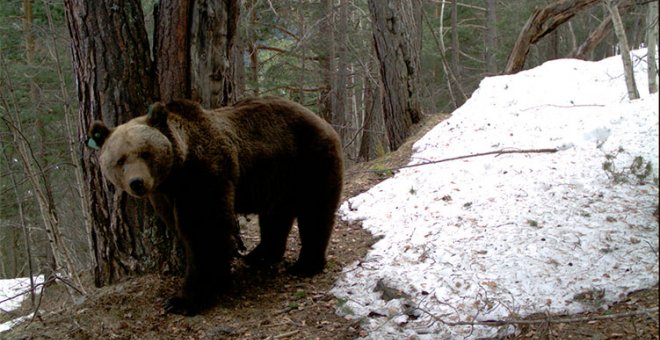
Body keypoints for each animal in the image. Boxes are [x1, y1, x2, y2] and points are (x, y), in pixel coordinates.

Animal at [87, 97, 342, 314]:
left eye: (145, 153)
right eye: (120, 160)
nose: (137, 183)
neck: (174, 175)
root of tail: (322, 120)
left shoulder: (204, 177)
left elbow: (204, 231)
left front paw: (184, 300)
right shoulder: (164, 196)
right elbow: (182, 228)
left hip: (309, 161)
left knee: (314, 212)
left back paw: (305, 265)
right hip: (278, 177)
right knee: (275, 217)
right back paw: (259, 255)